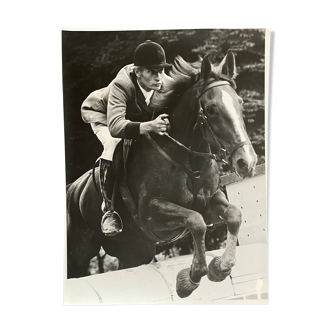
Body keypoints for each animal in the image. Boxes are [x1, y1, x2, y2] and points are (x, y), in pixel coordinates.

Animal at [65, 50, 256, 300]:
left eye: (240, 103)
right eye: (211, 109)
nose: (247, 162)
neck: (189, 159)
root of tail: (72, 188)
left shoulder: (210, 201)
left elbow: (233, 215)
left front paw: (219, 269)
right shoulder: (152, 212)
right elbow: (196, 222)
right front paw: (189, 280)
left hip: (135, 249)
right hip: (79, 251)